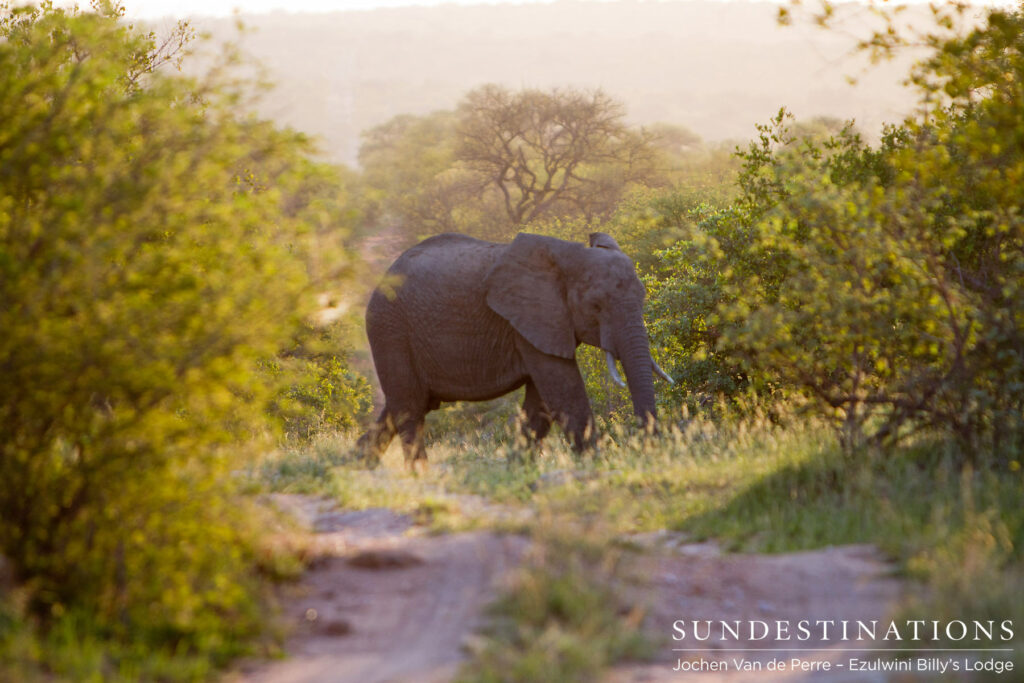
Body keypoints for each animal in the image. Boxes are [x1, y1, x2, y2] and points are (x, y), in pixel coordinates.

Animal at [357, 231, 672, 467]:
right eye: (596, 305)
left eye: (643, 296)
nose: (649, 451)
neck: (568, 257)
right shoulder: (529, 318)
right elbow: (564, 394)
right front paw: (597, 466)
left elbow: (541, 405)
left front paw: (517, 466)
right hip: (390, 328)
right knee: (409, 407)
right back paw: (419, 474)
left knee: (406, 404)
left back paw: (357, 465)